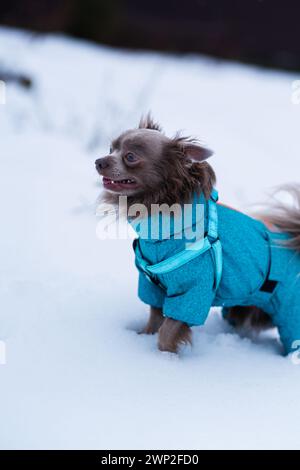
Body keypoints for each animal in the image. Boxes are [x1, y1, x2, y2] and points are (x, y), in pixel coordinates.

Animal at [95, 115, 300, 354]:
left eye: (130, 156)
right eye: (111, 149)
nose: (99, 161)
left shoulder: (192, 290)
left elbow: (167, 331)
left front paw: (165, 357)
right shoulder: (154, 288)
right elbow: (154, 320)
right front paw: (143, 339)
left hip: (289, 310)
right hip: (247, 306)